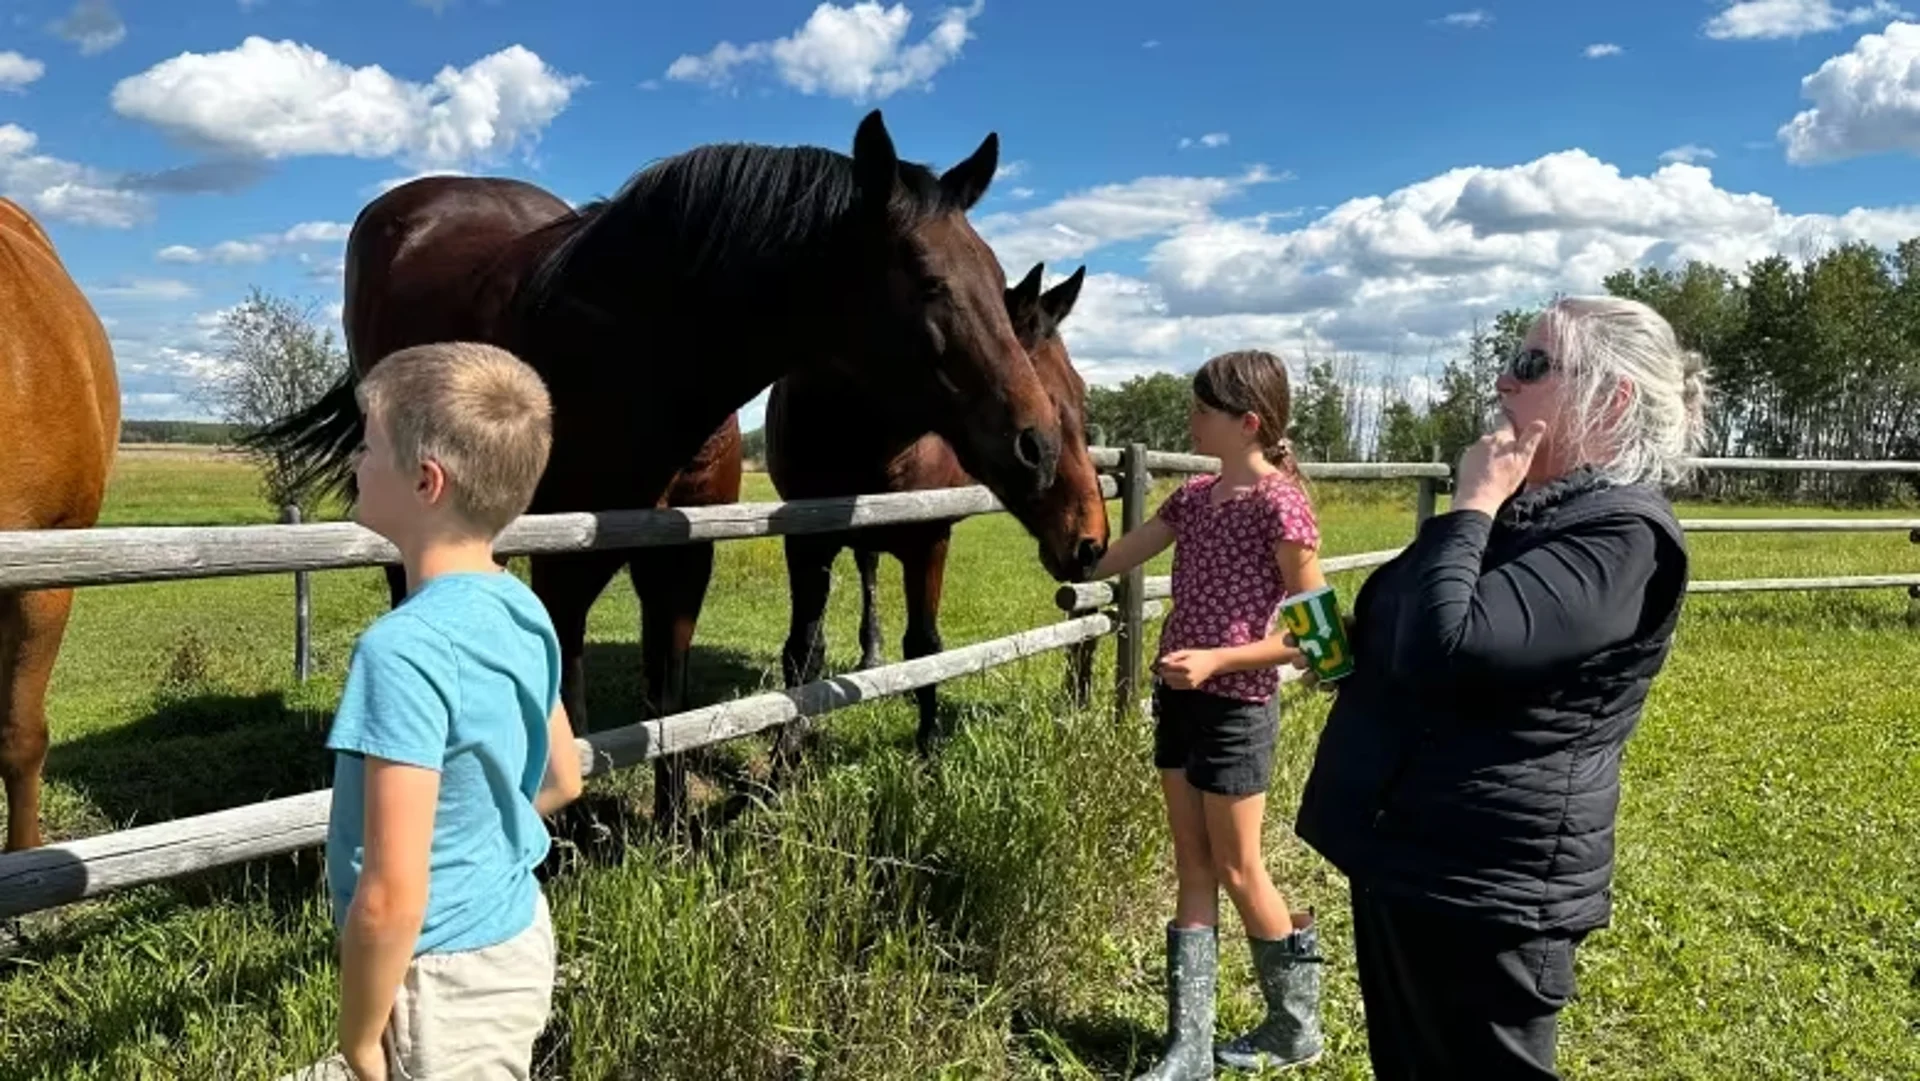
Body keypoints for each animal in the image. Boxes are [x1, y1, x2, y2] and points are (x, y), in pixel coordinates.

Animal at [760, 263, 1098, 756]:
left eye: (1081, 392)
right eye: (1047, 398)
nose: (1092, 543)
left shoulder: (930, 540)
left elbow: (924, 647)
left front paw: (928, 748)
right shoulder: (805, 540)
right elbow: (803, 651)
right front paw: (788, 748)